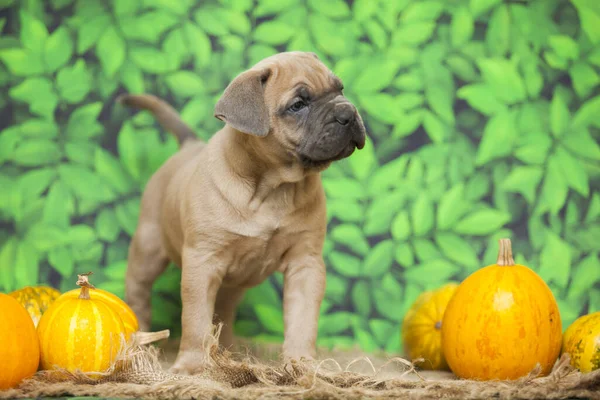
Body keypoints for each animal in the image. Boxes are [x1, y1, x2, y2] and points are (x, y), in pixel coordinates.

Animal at [119, 50, 366, 376]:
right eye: (298, 105)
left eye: (340, 89)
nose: (348, 113)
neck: (273, 187)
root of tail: (189, 145)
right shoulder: (202, 262)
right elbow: (195, 321)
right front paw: (191, 366)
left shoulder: (306, 262)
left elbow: (302, 320)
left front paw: (301, 363)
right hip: (148, 251)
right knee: (139, 295)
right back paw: (140, 346)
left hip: (233, 284)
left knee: (223, 315)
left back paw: (228, 355)